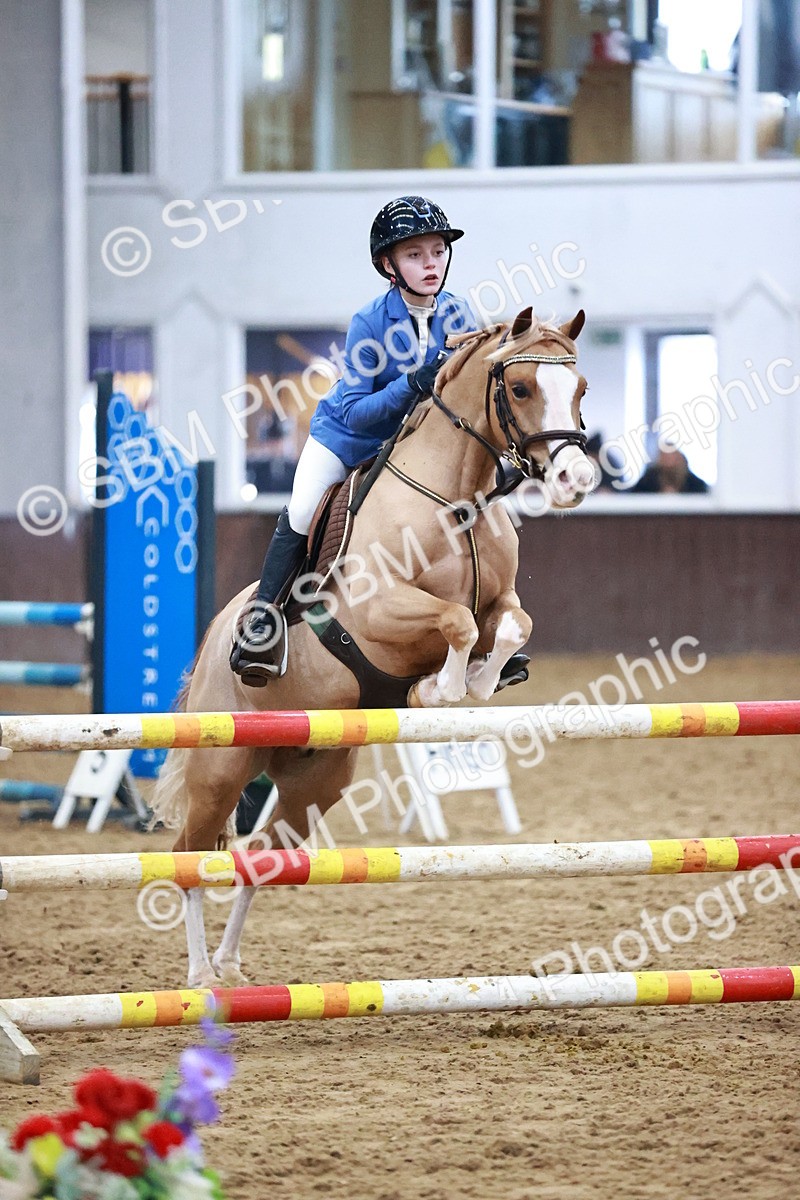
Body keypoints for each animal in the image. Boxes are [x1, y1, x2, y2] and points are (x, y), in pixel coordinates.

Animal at [150, 306, 595, 987]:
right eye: (519, 389)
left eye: (580, 390)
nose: (576, 479)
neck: (456, 498)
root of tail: (214, 641)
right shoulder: (377, 609)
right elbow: (456, 625)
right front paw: (438, 688)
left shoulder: (500, 600)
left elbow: (509, 626)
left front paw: (479, 679)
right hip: (220, 769)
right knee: (189, 857)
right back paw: (201, 976)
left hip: (315, 780)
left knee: (261, 856)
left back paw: (229, 965)